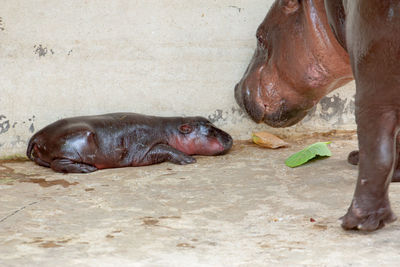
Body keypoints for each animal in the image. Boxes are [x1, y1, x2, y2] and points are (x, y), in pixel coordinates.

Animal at [26, 113, 233, 174]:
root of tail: (37, 136)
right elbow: (166, 148)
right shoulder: (147, 149)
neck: (172, 129)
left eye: (211, 122)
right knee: (57, 163)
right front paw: (189, 160)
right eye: (210, 130)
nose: (230, 138)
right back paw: (87, 169)